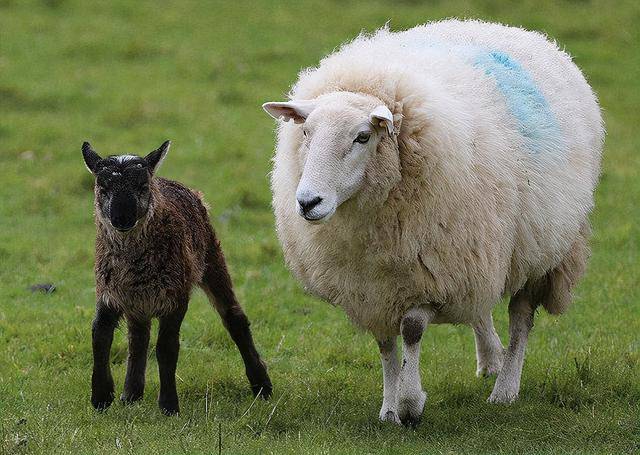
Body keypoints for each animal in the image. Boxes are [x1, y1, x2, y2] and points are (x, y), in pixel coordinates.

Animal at [262, 20, 604, 428]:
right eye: (306, 133)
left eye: (363, 137)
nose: (307, 202)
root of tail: (510, 29)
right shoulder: (374, 287)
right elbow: (385, 344)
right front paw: (389, 407)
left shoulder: (429, 276)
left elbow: (411, 330)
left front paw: (410, 404)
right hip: (480, 250)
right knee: (481, 308)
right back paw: (491, 359)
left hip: (541, 248)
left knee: (520, 317)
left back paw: (505, 388)